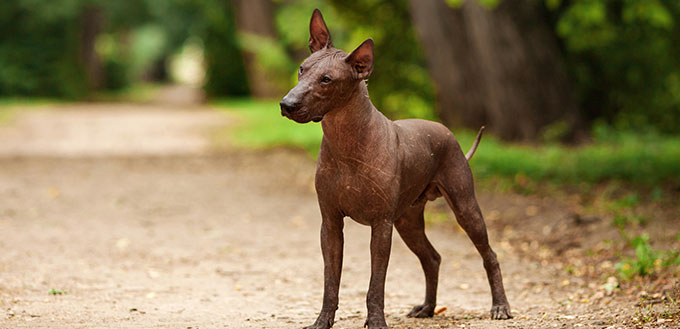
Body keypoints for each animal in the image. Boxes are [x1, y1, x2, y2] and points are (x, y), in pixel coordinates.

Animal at [278, 8, 512, 328]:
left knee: (490, 254)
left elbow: (376, 284)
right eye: (302, 69)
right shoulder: (331, 225)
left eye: (326, 79)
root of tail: (447, 132)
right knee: (432, 258)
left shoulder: (381, 225)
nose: (286, 104)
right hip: (408, 220)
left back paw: (500, 306)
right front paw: (322, 320)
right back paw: (428, 307)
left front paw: (376, 321)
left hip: (465, 207)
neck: (346, 142)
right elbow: (330, 282)